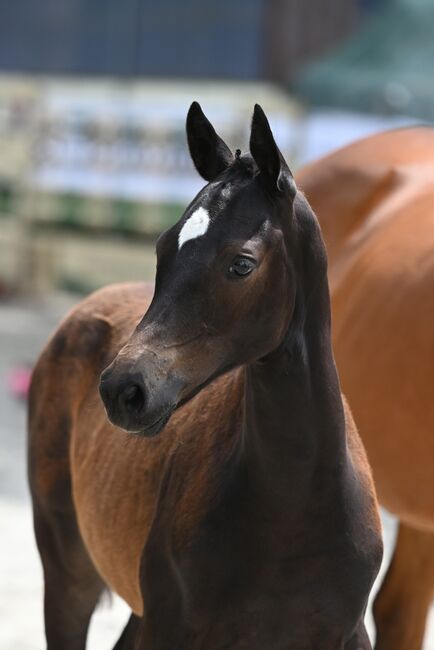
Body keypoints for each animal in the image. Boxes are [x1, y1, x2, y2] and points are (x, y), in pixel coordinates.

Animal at [27, 104, 382, 644]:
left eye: (242, 264)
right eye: (162, 249)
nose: (123, 390)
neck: (295, 507)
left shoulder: (343, 634)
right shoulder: (171, 626)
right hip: (69, 571)